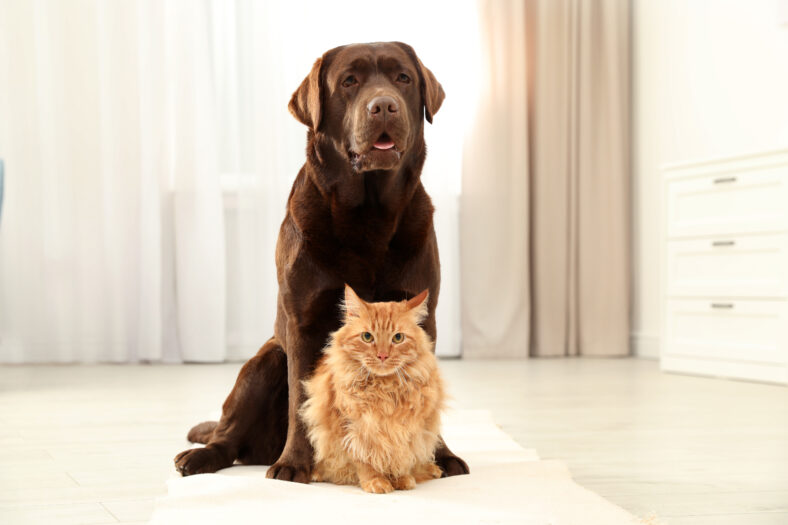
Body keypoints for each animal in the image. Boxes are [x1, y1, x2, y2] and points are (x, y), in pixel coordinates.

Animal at [302, 284, 446, 494]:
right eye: (367, 337)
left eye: (398, 338)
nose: (383, 355)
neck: (384, 388)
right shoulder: (351, 428)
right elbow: (364, 460)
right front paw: (376, 481)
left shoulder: (408, 429)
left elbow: (401, 457)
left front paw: (401, 479)